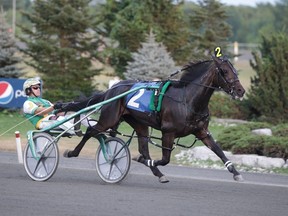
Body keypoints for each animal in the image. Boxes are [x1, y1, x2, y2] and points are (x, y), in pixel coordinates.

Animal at [63, 54, 245, 183]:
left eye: (235, 70)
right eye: (225, 71)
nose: (241, 90)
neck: (187, 99)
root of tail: (112, 88)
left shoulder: (202, 132)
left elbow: (219, 151)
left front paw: (236, 173)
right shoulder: (168, 132)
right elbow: (165, 159)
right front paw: (144, 160)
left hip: (139, 124)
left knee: (143, 147)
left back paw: (156, 172)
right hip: (109, 118)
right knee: (90, 131)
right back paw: (72, 152)